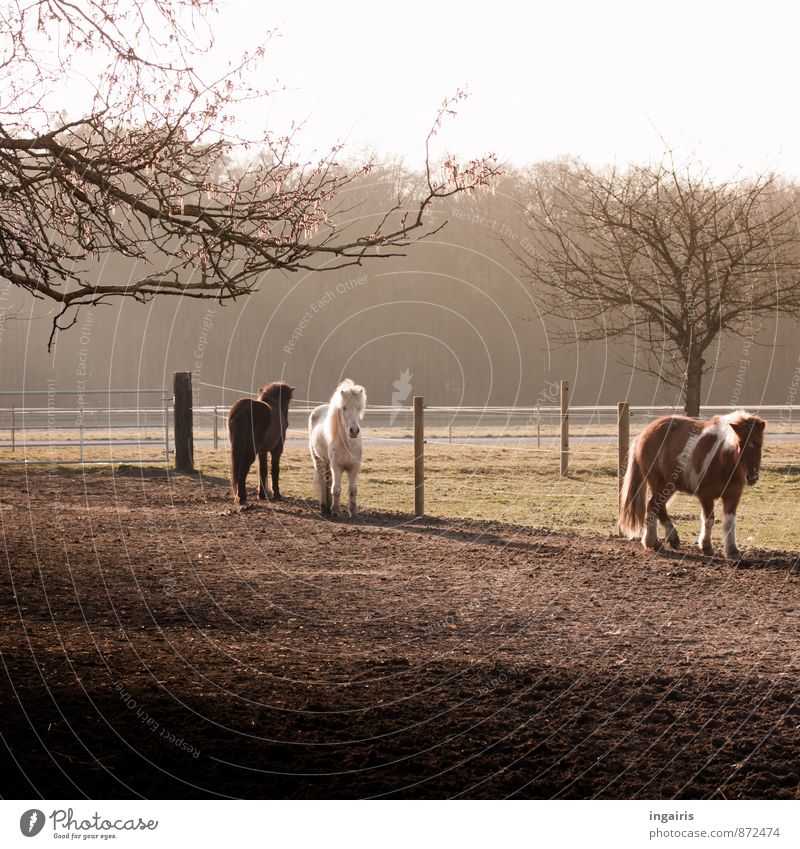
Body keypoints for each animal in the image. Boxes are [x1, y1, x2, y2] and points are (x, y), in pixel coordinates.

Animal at [308, 380, 368, 516]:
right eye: (344, 408)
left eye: (358, 408)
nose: (354, 430)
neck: (347, 444)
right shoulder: (337, 467)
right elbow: (336, 489)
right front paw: (335, 511)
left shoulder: (354, 467)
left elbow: (353, 490)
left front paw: (353, 512)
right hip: (318, 460)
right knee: (322, 481)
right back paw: (324, 507)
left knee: (328, 481)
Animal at [620, 410, 764, 560]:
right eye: (739, 444)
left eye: (759, 444)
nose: (752, 477)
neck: (722, 458)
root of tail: (643, 434)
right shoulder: (706, 496)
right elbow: (709, 520)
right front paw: (706, 546)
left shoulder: (733, 496)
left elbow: (730, 522)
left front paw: (732, 551)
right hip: (662, 484)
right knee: (655, 505)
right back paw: (671, 539)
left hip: (669, 486)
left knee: (653, 506)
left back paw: (652, 542)